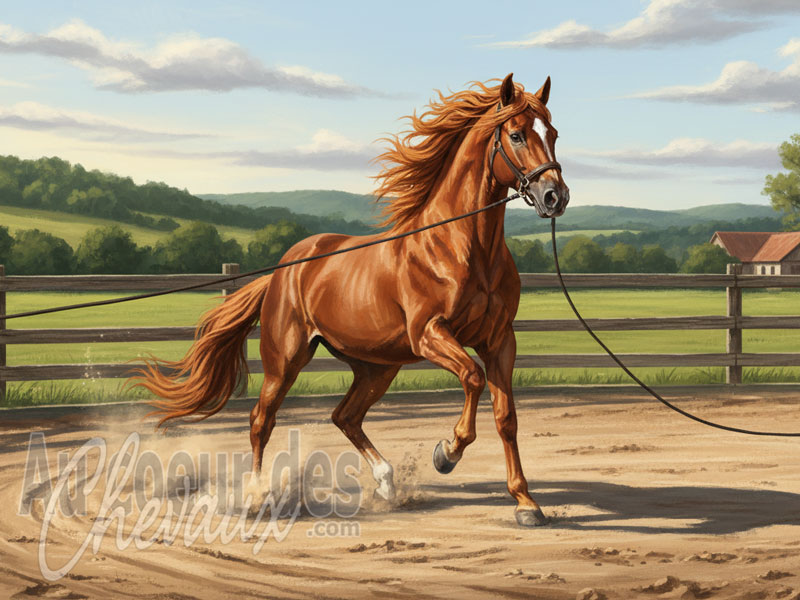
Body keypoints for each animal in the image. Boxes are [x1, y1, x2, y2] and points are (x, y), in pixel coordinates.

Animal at [130, 73, 570, 527]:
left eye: (553, 133)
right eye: (516, 135)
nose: (555, 196)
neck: (461, 247)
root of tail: (283, 269)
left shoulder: (499, 340)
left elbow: (506, 417)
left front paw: (526, 503)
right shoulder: (429, 334)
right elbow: (472, 378)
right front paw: (446, 453)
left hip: (377, 366)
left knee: (345, 416)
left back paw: (387, 483)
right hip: (286, 359)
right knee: (261, 420)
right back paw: (255, 496)